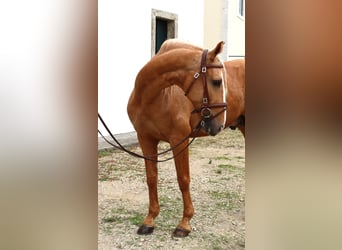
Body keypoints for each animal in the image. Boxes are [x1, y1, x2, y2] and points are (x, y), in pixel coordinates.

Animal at [127, 38, 244, 236]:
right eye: (217, 81)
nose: (220, 125)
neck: (153, 97)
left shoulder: (179, 141)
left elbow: (183, 179)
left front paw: (184, 224)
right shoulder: (146, 139)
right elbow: (151, 178)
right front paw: (149, 220)